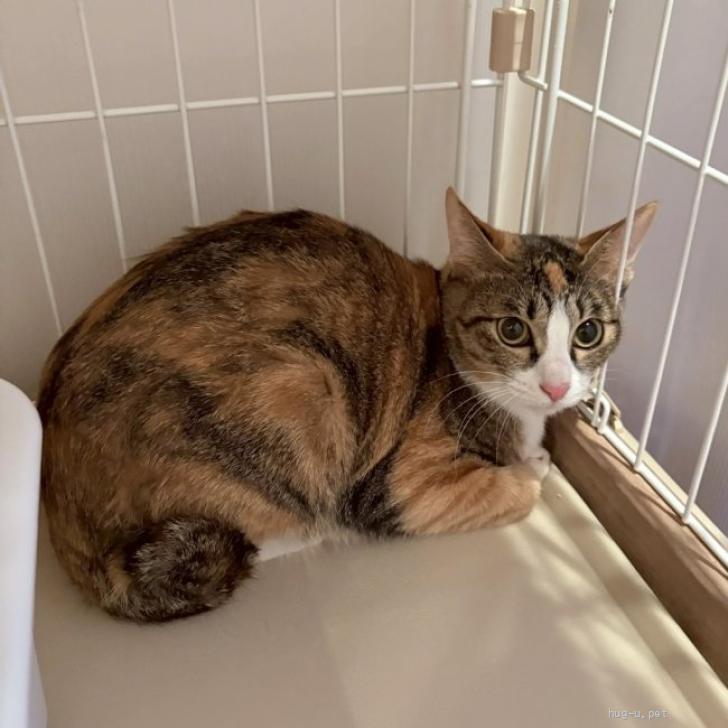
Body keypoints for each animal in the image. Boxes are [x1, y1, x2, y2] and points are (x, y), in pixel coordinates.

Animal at [37, 188, 656, 622]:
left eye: (588, 332)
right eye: (511, 330)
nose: (556, 387)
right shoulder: (400, 490)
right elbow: (519, 491)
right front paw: (534, 465)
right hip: (305, 387)